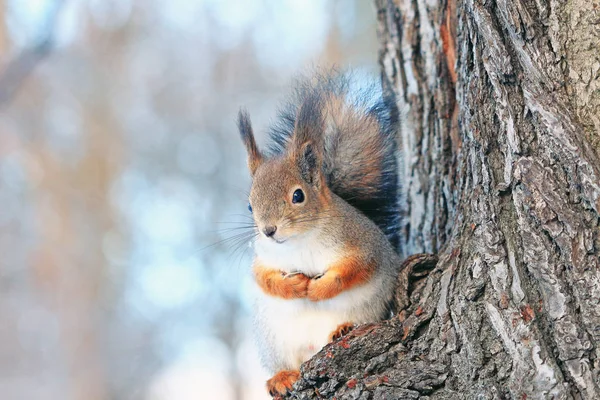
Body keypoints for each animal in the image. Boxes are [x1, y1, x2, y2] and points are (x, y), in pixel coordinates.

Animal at [236, 72, 404, 396]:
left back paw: (342, 328)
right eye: (250, 205)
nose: (269, 230)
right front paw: (293, 286)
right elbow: (263, 277)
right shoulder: (264, 257)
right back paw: (281, 377)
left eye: (298, 195)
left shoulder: (364, 243)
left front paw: (317, 289)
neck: (299, 241)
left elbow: (354, 270)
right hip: (274, 340)